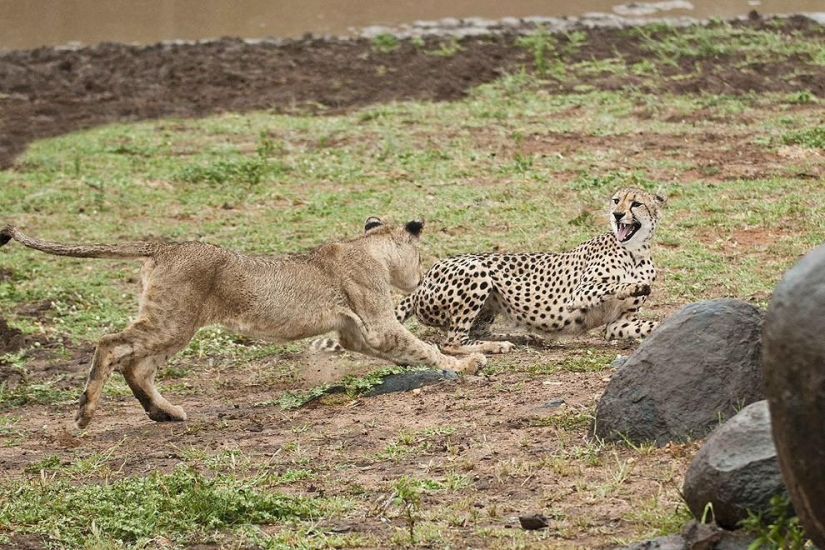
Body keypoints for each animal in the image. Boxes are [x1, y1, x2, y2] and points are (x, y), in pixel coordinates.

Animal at [396, 188, 668, 356]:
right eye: (616, 200)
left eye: (636, 203)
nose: (617, 214)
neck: (635, 252)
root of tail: (423, 280)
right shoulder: (579, 294)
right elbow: (612, 285)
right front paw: (634, 286)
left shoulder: (619, 324)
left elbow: (648, 324)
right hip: (476, 270)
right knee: (451, 342)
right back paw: (498, 346)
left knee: (472, 332)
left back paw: (520, 337)